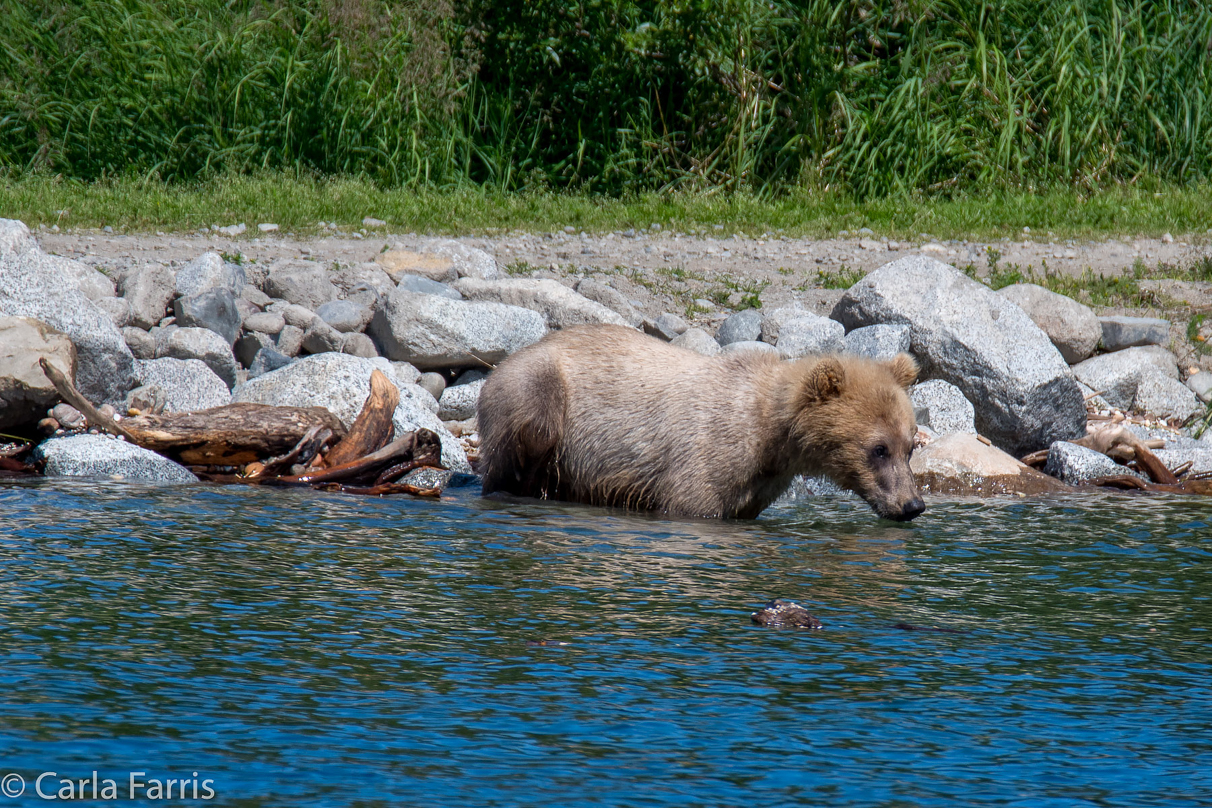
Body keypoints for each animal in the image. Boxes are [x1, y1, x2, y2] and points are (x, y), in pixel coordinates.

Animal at [477, 324, 921, 520]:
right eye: (878, 448)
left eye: (910, 446)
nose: (912, 504)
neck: (769, 435)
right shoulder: (703, 458)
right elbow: (692, 502)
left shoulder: (758, 484)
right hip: (537, 389)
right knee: (530, 436)